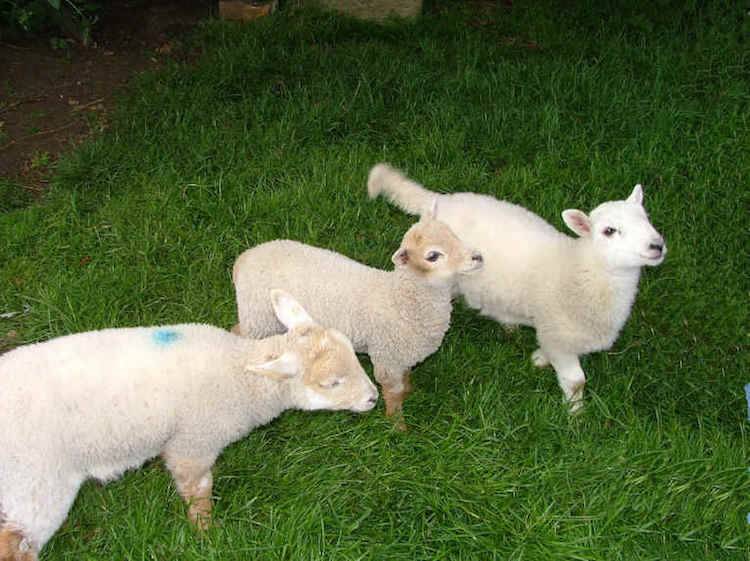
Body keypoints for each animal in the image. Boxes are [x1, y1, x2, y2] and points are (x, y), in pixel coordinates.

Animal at [0, 290, 377, 561]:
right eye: (331, 383)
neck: (239, 371)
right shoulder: (194, 442)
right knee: (16, 544)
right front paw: (206, 532)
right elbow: (198, 488)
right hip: (36, 482)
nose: (373, 398)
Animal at [232, 214, 484, 428]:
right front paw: (397, 426)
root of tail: (244, 258)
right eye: (433, 256)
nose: (478, 257)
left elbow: (403, 381)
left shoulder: (402, 355)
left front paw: (408, 391)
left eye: (453, 233)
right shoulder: (386, 356)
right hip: (258, 320)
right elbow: (392, 392)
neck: (400, 299)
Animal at [367, 163, 666, 412]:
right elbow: (576, 381)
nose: (657, 245)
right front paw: (576, 416)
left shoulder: (558, 333)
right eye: (608, 231)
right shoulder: (558, 333)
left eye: (647, 218)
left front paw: (540, 359)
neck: (581, 269)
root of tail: (439, 201)